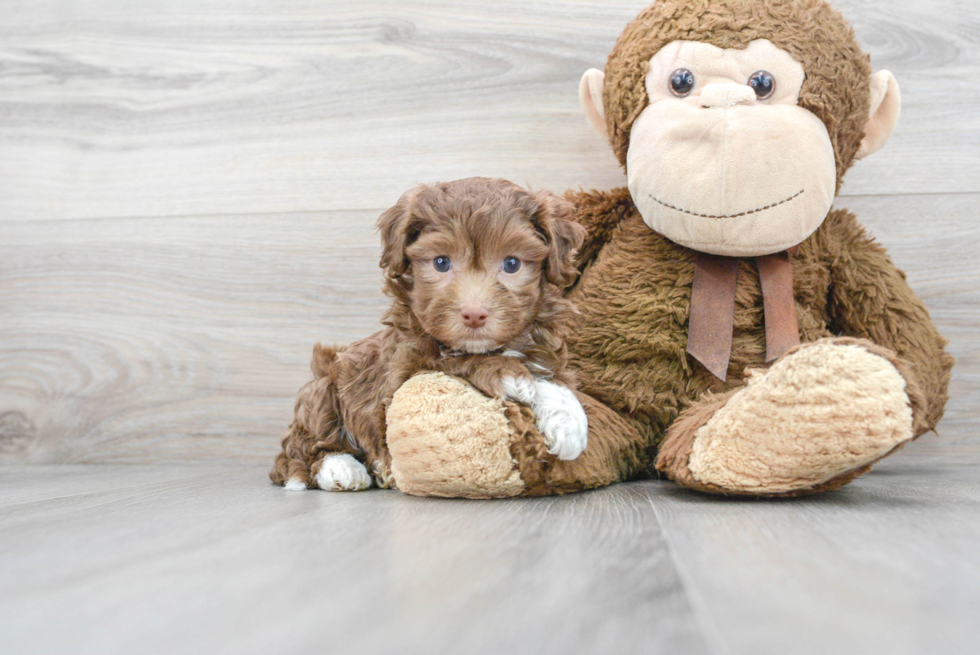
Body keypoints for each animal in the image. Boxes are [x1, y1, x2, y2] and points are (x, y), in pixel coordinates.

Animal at [268, 179, 584, 492]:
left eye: (512, 264)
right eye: (441, 262)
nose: (474, 313)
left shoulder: (542, 350)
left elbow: (552, 378)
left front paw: (568, 419)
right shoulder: (403, 374)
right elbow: (455, 360)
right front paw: (509, 373)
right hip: (323, 390)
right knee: (303, 449)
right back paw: (341, 468)